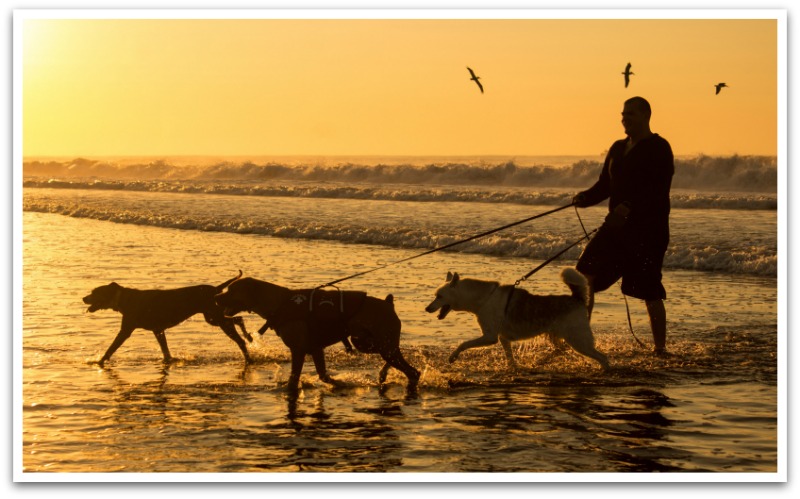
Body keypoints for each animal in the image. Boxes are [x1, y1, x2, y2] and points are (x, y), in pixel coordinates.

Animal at [83, 272, 252, 366]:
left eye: (95, 292)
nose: (84, 298)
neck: (124, 299)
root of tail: (216, 289)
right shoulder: (158, 330)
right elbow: (165, 349)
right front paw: (168, 360)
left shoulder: (125, 330)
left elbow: (111, 348)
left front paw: (99, 361)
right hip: (212, 317)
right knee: (237, 318)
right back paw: (248, 337)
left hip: (215, 318)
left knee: (235, 329)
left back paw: (247, 347)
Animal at [216, 278, 422, 390]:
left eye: (231, 290)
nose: (216, 297)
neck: (279, 303)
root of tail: (388, 304)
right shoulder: (316, 349)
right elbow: (323, 375)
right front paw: (338, 383)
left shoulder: (298, 350)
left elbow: (294, 379)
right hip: (367, 342)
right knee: (395, 358)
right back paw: (383, 374)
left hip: (380, 344)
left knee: (412, 371)